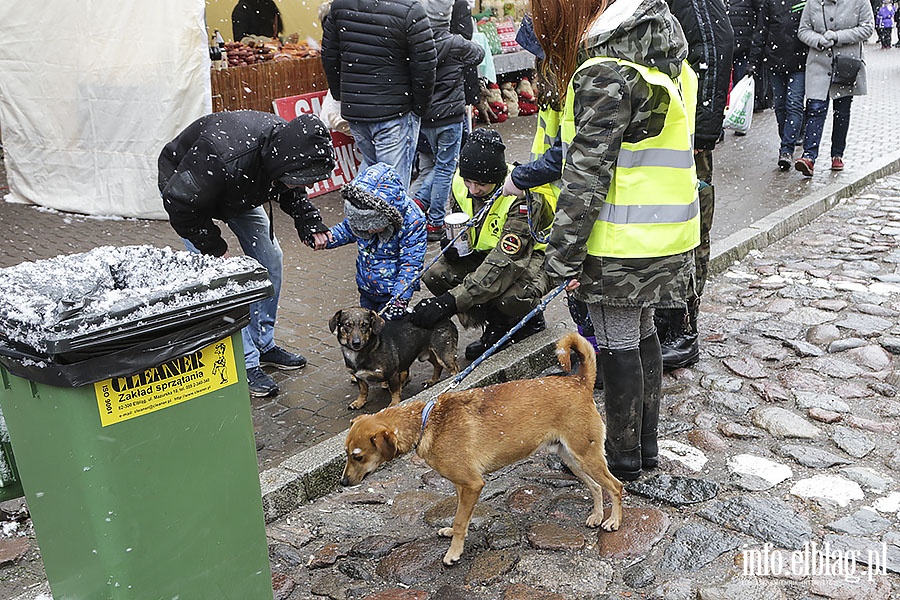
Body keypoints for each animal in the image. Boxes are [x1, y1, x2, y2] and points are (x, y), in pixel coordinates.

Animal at [328, 308, 460, 410]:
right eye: (347, 325)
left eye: (364, 325)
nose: (356, 343)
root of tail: (445, 317)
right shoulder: (359, 376)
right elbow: (363, 390)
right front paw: (359, 402)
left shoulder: (392, 374)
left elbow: (395, 391)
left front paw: (394, 404)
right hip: (429, 353)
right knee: (437, 366)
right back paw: (433, 381)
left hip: (443, 356)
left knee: (455, 369)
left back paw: (454, 380)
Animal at [342, 330, 624, 564]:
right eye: (347, 454)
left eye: (358, 457)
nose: (343, 483)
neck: (426, 421)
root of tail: (579, 381)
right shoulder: (461, 486)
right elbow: (459, 517)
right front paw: (452, 534)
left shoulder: (472, 484)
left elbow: (460, 521)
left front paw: (453, 553)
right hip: (572, 459)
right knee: (596, 487)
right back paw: (597, 515)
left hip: (587, 457)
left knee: (616, 486)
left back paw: (613, 521)